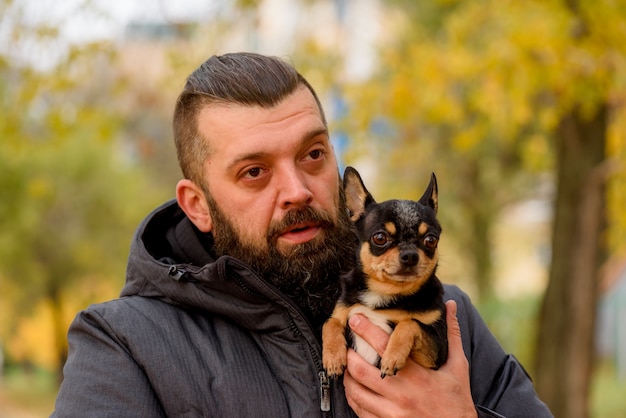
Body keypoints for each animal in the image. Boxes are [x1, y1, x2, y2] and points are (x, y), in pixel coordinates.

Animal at [320, 166, 446, 378]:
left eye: (431, 240)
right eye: (380, 238)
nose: (410, 255)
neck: (384, 292)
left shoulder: (438, 350)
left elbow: (409, 323)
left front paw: (392, 357)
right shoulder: (342, 312)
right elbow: (329, 323)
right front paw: (333, 357)